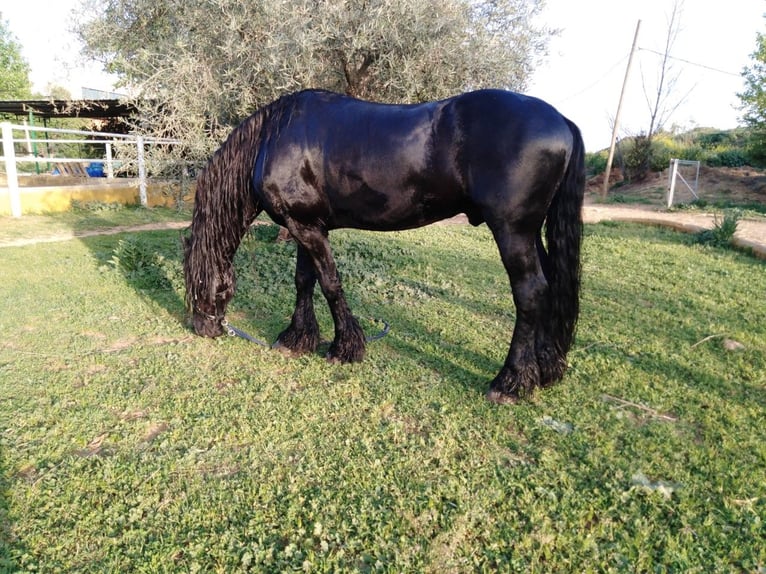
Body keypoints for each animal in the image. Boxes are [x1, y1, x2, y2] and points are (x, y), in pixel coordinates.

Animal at [183, 88, 585, 404]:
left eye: (197, 280)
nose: (203, 328)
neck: (273, 139)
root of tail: (561, 119)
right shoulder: (306, 226)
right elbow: (304, 281)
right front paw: (297, 339)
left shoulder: (308, 229)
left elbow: (330, 283)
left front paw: (344, 347)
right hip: (531, 233)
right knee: (550, 287)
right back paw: (545, 369)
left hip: (512, 231)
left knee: (530, 293)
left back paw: (510, 383)